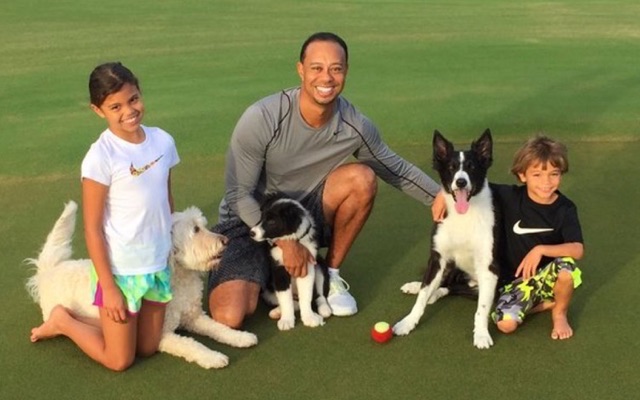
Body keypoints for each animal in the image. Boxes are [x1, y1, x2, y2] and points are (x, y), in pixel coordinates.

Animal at [26, 201, 258, 369]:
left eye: (202, 226)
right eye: (196, 230)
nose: (225, 241)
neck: (179, 278)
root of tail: (50, 269)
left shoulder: (194, 317)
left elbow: (219, 327)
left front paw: (241, 337)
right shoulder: (160, 335)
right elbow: (192, 344)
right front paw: (213, 357)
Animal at [249, 193, 332, 331]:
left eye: (272, 221)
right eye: (262, 216)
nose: (251, 233)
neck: (292, 240)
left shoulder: (307, 268)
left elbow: (306, 296)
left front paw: (309, 317)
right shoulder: (279, 270)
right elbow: (285, 298)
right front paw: (286, 320)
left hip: (320, 266)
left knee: (319, 294)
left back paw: (324, 309)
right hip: (267, 290)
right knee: (290, 301)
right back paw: (277, 311)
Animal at [393, 129, 500, 349]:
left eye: (472, 167)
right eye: (451, 168)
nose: (461, 182)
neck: (464, 216)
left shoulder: (489, 267)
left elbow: (482, 308)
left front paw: (481, 334)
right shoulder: (438, 258)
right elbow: (422, 296)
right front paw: (408, 322)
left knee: (454, 288)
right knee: (443, 284)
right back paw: (417, 287)